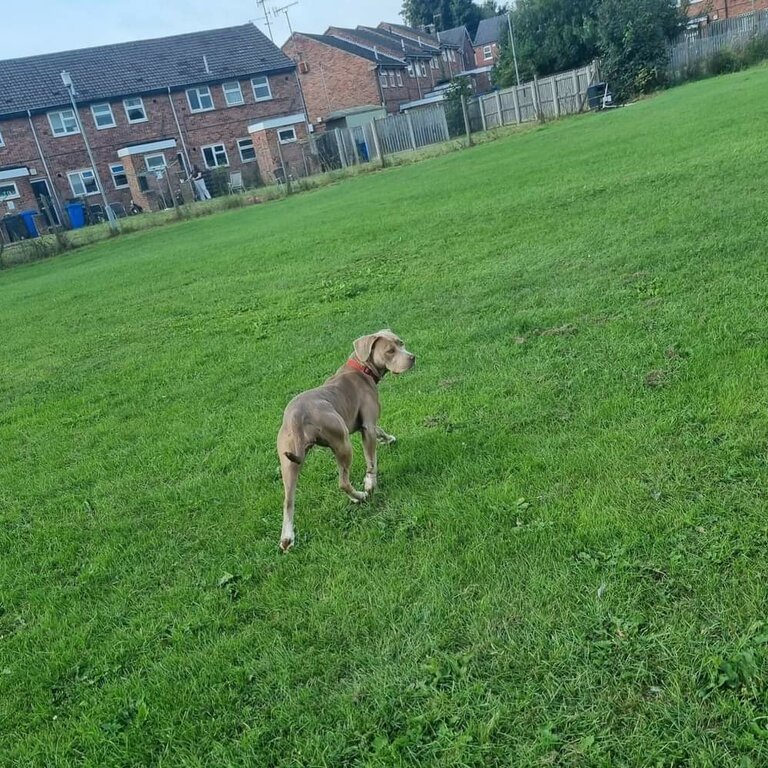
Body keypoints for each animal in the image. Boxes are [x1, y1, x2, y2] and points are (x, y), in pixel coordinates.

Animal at [278, 330, 414, 552]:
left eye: (401, 343)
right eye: (389, 351)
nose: (412, 357)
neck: (362, 368)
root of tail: (296, 416)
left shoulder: (369, 424)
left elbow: (381, 430)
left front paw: (389, 438)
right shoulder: (367, 426)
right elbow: (371, 461)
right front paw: (370, 484)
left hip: (288, 462)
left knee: (288, 500)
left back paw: (287, 538)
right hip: (342, 443)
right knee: (343, 482)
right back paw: (359, 496)